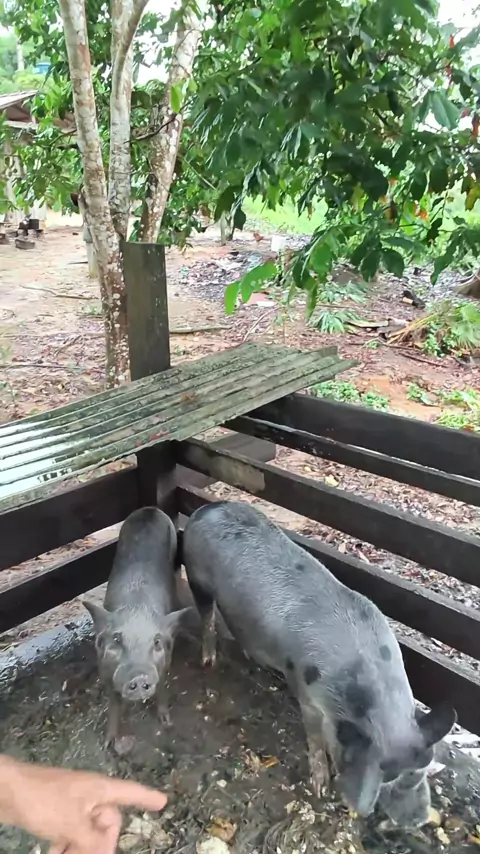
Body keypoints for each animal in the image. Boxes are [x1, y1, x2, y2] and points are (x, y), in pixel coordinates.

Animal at [83, 506, 190, 751]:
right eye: (116, 640)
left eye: (157, 642)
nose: (139, 675)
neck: (136, 609)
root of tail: (151, 509)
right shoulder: (105, 672)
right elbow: (113, 705)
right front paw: (108, 743)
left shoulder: (165, 663)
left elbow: (163, 688)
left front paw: (166, 722)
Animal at [182, 501, 456, 827]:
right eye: (389, 779)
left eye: (420, 770)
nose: (421, 819)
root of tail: (205, 508)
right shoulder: (307, 691)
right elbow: (314, 738)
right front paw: (320, 788)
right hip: (196, 578)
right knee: (207, 616)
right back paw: (208, 659)